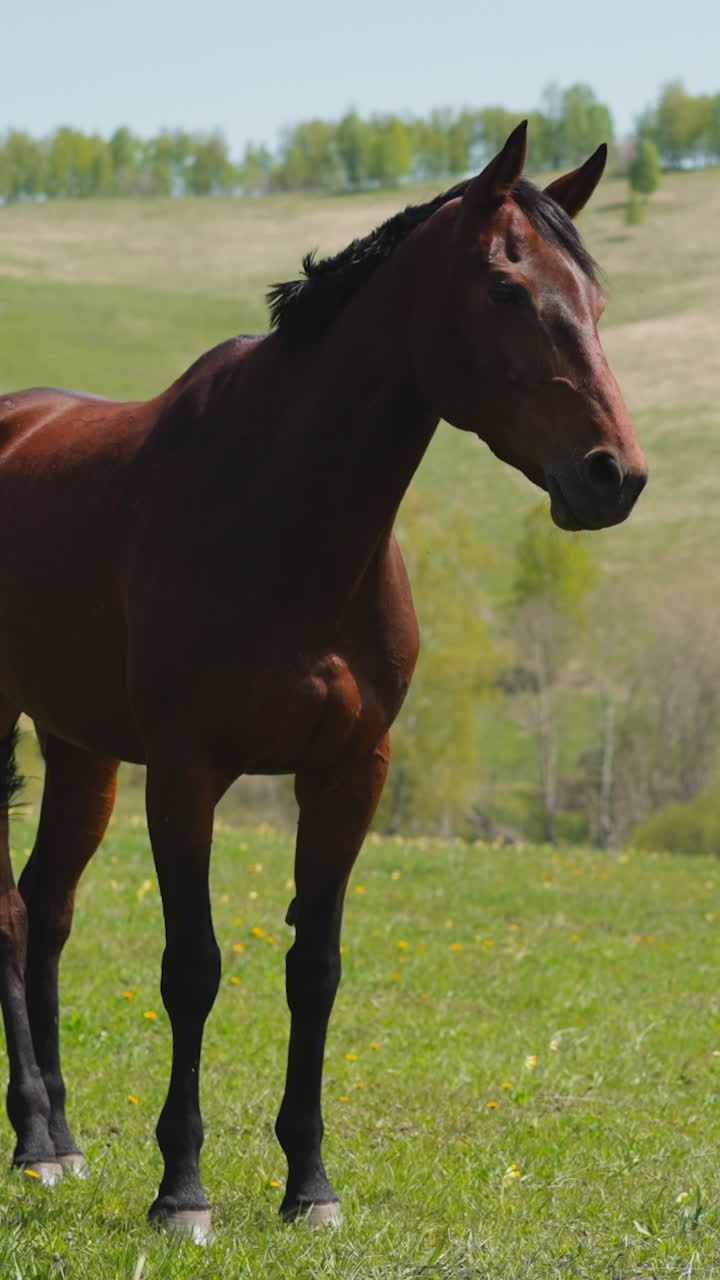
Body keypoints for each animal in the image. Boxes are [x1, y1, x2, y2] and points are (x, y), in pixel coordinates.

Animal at [0, 122, 647, 1237]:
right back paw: (37, 1140)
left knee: (46, 905)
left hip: (79, 747)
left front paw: (309, 1183)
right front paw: (182, 1190)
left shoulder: (350, 773)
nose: (616, 474)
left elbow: (317, 969)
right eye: (508, 289)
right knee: (7, 916)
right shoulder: (186, 774)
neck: (285, 511)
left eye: (597, 300)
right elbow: (194, 969)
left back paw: (58, 1142)